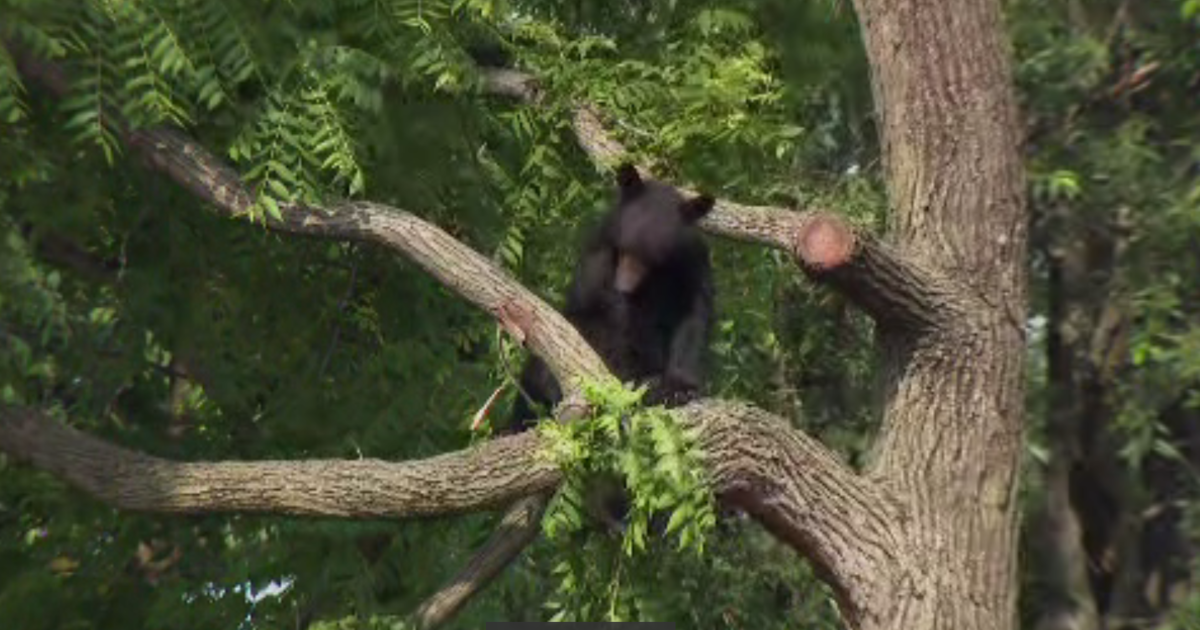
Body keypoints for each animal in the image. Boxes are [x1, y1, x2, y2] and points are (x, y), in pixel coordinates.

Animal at [501, 164, 715, 434]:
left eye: (653, 256)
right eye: (624, 249)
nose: (624, 286)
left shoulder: (692, 263)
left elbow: (693, 318)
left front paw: (681, 388)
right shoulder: (600, 261)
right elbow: (608, 319)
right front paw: (642, 383)